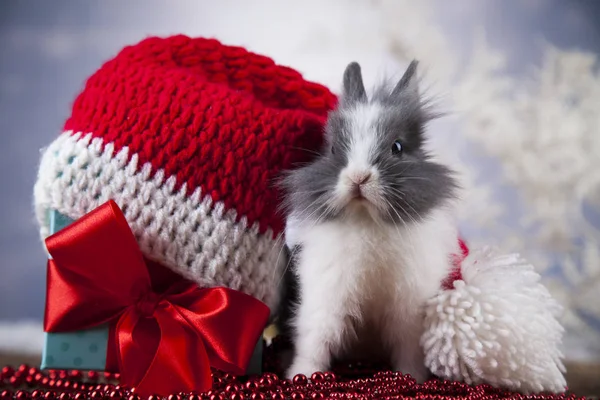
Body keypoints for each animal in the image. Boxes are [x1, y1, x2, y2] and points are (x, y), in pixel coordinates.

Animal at [278, 59, 462, 382]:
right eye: (333, 150)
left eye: (397, 147)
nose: (358, 177)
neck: (368, 222)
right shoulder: (326, 297)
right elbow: (315, 341)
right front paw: (302, 376)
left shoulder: (408, 308)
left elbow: (409, 347)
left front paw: (412, 379)